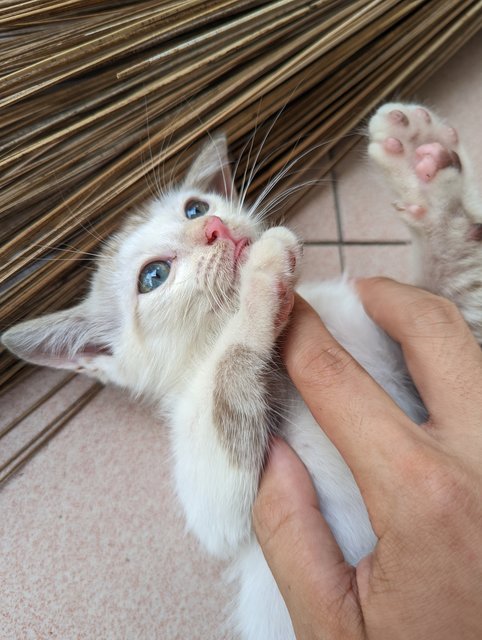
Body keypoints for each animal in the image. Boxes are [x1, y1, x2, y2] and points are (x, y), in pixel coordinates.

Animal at [3, 102, 482, 636]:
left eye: (195, 208)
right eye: (153, 276)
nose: (214, 227)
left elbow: (449, 296)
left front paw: (425, 177)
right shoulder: (214, 501)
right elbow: (224, 390)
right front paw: (259, 283)